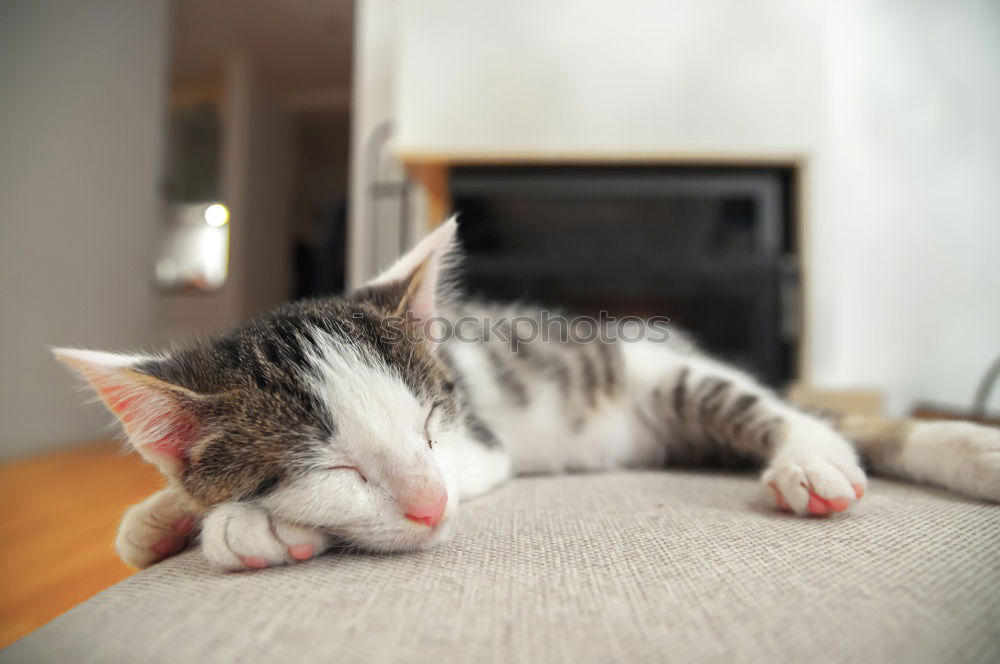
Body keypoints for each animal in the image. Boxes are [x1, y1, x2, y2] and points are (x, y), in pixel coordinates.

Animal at [54, 218, 1000, 572]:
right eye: (333, 468)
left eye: (429, 427)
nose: (429, 505)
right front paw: (160, 518)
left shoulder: (480, 449)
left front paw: (244, 524)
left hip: (669, 375)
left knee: (800, 417)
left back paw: (814, 457)